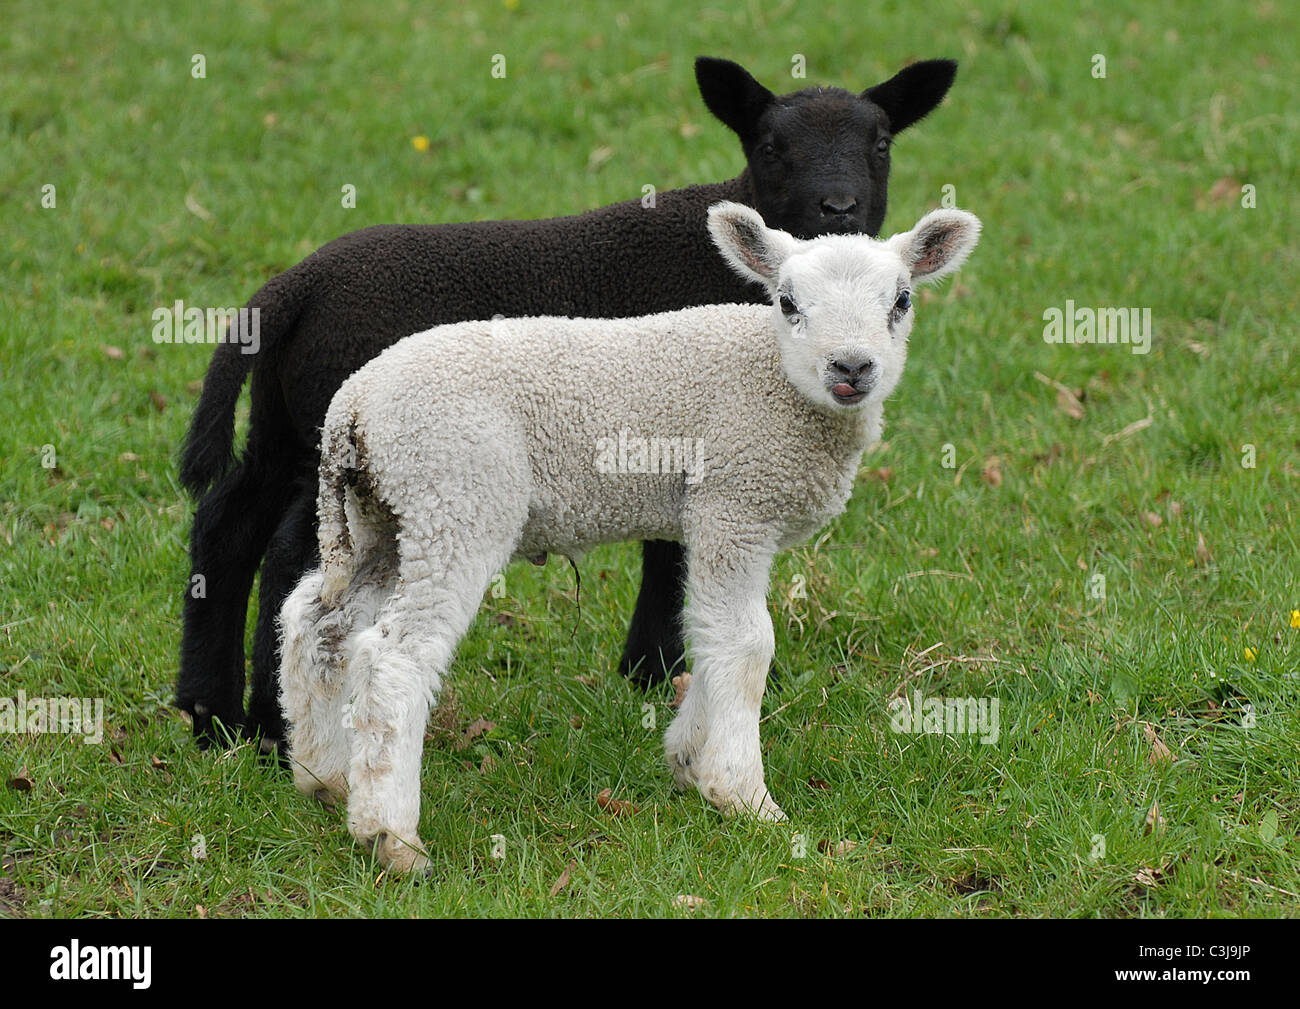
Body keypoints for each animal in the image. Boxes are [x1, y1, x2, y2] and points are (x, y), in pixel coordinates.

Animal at [175, 55, 961, 751]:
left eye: (881, 144)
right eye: (770, 146)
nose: (840, 209)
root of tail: (295, 287)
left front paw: (650, 673)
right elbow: (669, 554)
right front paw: (657, 671)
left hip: (286, 423)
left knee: (228, 523)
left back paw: (211, 716)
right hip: (342, 431)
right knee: (291, 555)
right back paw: (274, 729)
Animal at [277, 201, 981, 872]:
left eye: (902, 300)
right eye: (786, 302)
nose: (852, 367)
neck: (775, 379)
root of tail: (353, 406)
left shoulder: (714, 516)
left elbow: (708, 632)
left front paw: (690, 760)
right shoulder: (735, 503)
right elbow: (747, 643)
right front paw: (744, 798)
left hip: (382, 517)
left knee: (318, 620)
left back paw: (324, 778)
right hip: (455, 495)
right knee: (395, 655)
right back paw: (391, 838)